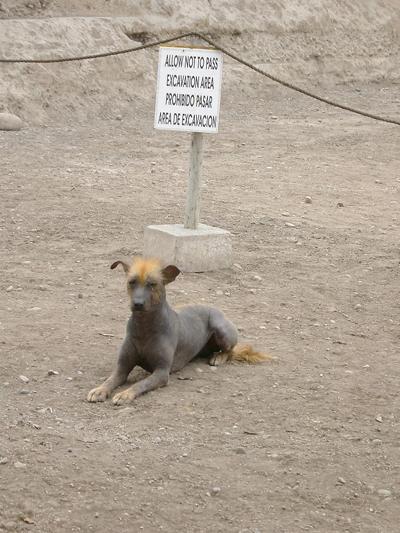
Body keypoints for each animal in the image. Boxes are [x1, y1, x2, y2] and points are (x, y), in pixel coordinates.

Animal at [87, 256, 268, 404]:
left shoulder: (161, 372)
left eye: (152, 284)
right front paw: (99, 390)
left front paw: (125, 394)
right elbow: (110, 380)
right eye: (132, 282)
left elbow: (140, 383)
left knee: (230, 351)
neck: (144, 326)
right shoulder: (122, 368)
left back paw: (219, 357)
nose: (137, 303)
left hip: (221, 329)